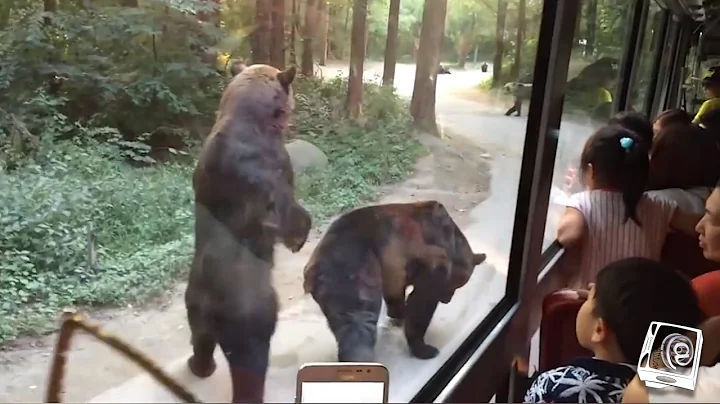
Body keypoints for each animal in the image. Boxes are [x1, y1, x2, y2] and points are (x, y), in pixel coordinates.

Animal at [185, 63, 312, 403]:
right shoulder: (279, 171)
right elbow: (289, 210)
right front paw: (299, 236)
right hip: (253, 314)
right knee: (250, 364)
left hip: (194, 305)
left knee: (200, 339)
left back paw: (199, 366)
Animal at [302, 201, 486, 362]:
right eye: (455, 285)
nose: (447, 300)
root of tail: (315, 266)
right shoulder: (431, 262)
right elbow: (422, 303)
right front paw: (423, 347)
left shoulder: (394, 269)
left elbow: (396, 294)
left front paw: (398, 315)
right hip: (354, 272)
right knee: (358, 322)